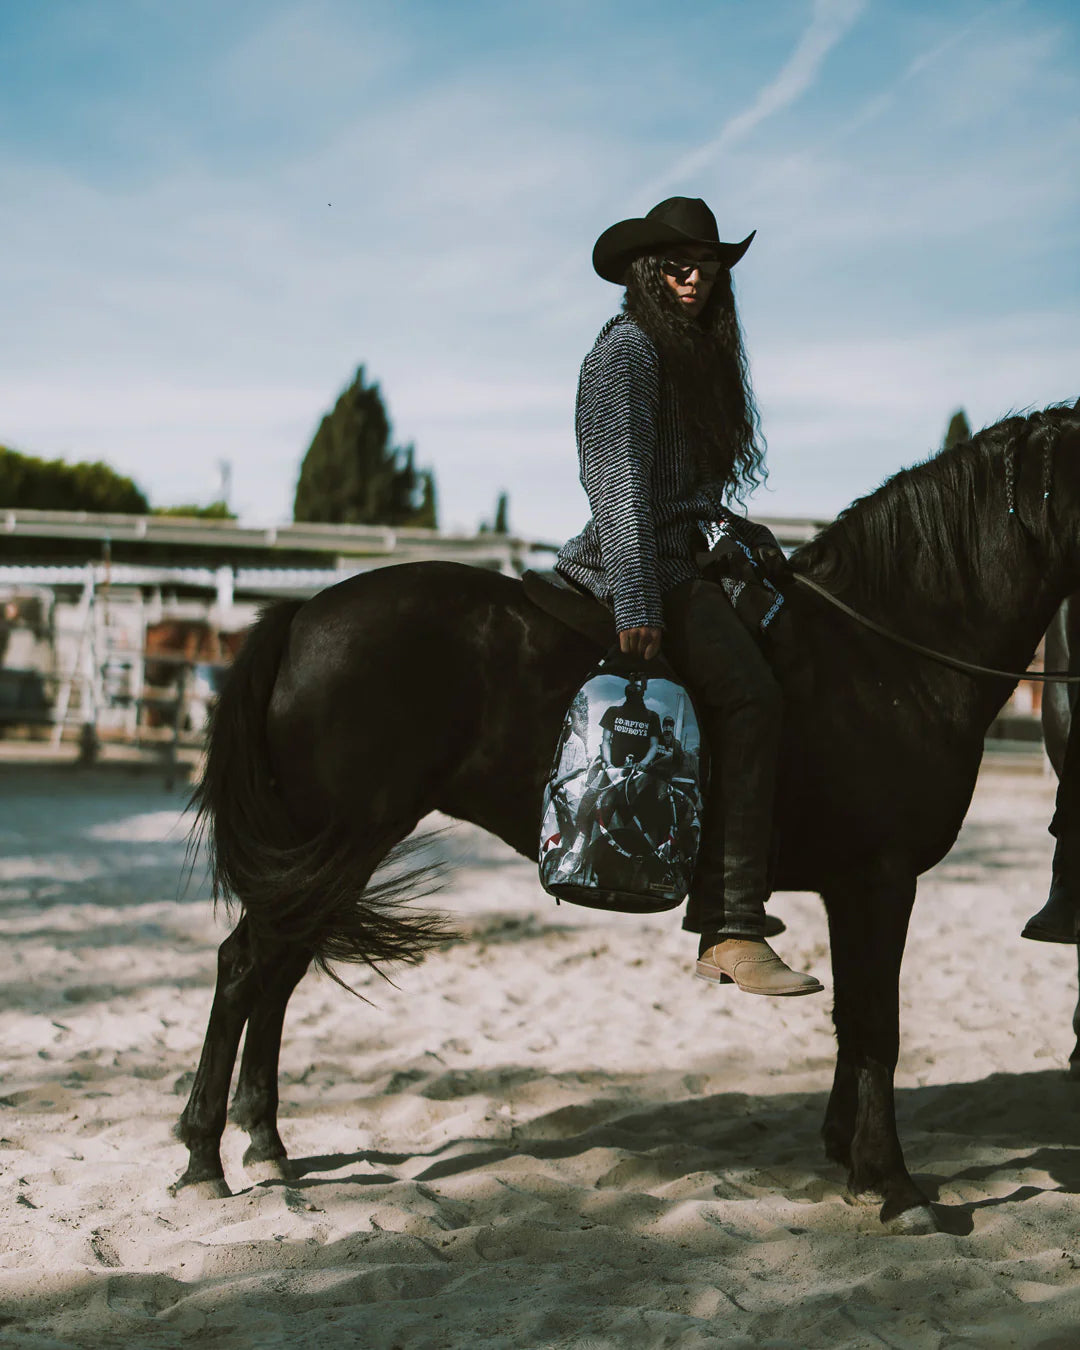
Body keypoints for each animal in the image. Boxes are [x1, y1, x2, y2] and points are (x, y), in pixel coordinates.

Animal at [175, 396, 1080, 1225]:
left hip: (325, 851)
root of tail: (303, 614)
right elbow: (875, 1026)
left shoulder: (848, 887)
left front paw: (846, 1153)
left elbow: (851, 1023)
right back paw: (203, 1157)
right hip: (341, 840)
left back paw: (266, 1143)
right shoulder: (881, 880)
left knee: (277, 973)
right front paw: (893, 1184)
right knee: (246, 966)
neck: (883, 651)